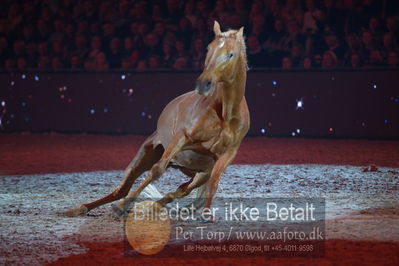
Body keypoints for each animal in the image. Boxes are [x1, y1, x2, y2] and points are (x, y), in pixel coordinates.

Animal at [66, 21, 250, 218]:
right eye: (209, 48)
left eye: (231, 54)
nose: (203, 84)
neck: (225, 114)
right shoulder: (181, 138)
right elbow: (157, 171)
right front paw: (123, 205)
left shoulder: (227, 155)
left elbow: (212, 183)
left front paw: (207, 215)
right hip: (146, 154)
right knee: (122, 189)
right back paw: (84, 208)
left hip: (199, 173)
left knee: (184, 189)